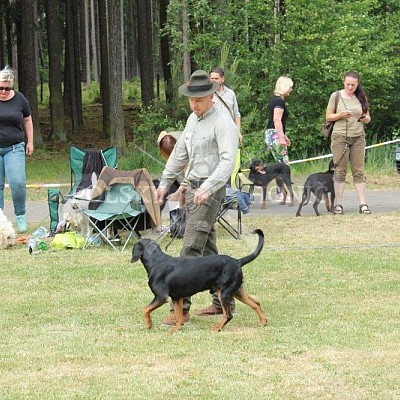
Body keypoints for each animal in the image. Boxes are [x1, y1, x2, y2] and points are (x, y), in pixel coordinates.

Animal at [131, 230, 268, 332]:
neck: (156, 261)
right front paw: (175, 330)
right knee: (256, 303)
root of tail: (237, 261)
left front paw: (149, 324)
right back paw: (263, 322)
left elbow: (145, 309)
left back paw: (217, 328)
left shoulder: (161, 297)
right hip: (237, 291)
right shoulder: (177, 298)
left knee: (228, 315)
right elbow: (179, 317)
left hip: (224, 293)